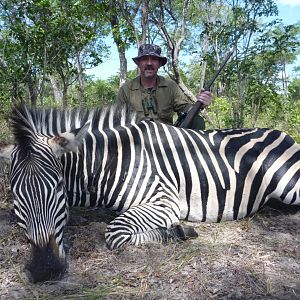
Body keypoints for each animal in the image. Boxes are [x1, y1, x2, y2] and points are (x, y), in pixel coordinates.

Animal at [0, 102, 298, 282]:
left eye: (59, 187)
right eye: (15, 196)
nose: (45, 269)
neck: (114, 160)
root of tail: (281, 133)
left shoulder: (164, 200)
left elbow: (114, 233)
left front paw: (179, 231)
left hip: (290, 184)